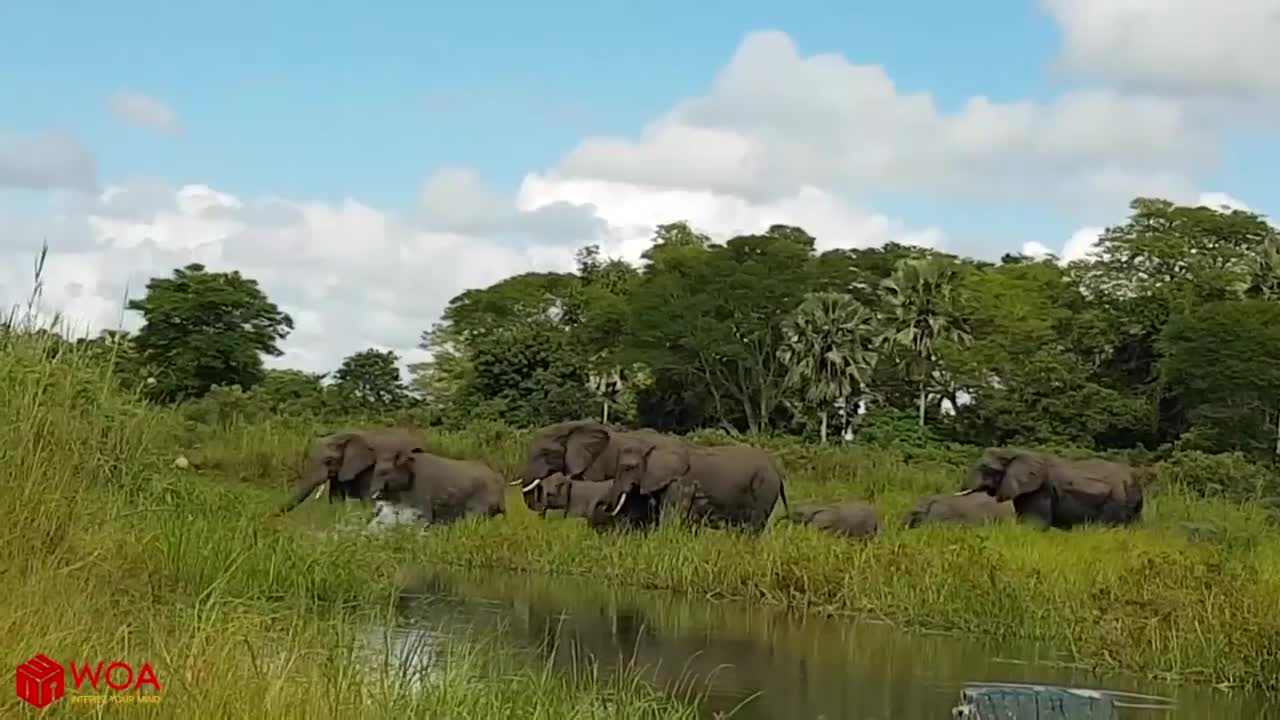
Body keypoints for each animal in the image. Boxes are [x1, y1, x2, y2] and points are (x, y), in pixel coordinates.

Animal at [591, 435, 788, 530]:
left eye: (628, 467)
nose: (604, 507)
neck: (654, 444)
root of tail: (778, 470)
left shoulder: (679, 483)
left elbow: (670, 516)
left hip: (764, 488)